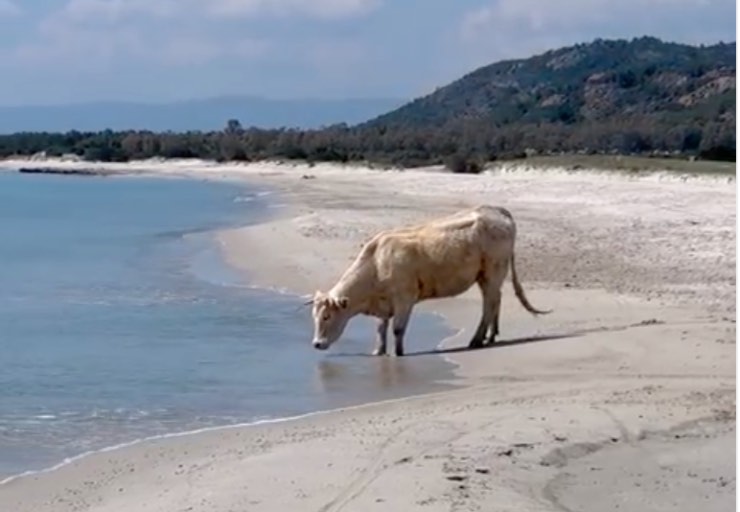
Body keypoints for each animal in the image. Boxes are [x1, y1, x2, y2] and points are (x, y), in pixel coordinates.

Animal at [306, 204, 548, 356]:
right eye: (314, 317)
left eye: (327, 316)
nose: (316, 344)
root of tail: (496, 210)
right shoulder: (384, 303)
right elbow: (381, 329)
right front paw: (378, 352)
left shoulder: (404, 298)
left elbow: (397, 329)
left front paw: (398, 354)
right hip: (486, 275)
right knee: (495, 300)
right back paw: (489, 337)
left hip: (493, 270)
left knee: (489, 304)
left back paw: (476, 340)